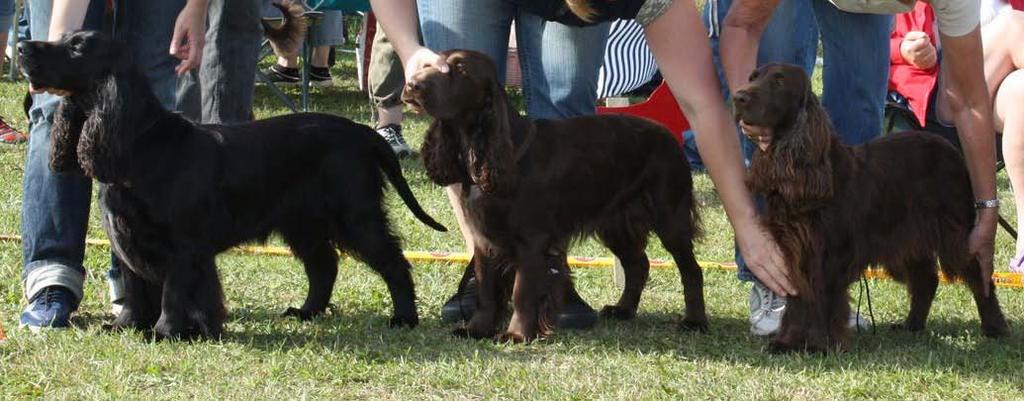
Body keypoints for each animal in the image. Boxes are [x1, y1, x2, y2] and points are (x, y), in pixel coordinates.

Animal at [403, 48, 708, 339]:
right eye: (429, 65)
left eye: (461, 70)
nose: (411, 85)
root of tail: (668, 135)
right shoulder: (484, 238)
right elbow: (486, 291)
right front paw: (477, 329)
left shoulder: (532, 240)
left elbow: (522, 291)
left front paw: (516, 334)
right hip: (616, 223)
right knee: (638, 264)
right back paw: (623, 309)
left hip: (670, 216)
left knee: (691, 269)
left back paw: (694, 321)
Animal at [737, 62, 1007, 351]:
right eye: (753, 77)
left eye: (778, 82)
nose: (738, 97)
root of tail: (953, 150)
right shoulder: (794, 252)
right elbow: (798, 301)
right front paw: (787, 342)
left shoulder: (828, 254)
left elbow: (821, 300)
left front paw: (819, 344)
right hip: (909, 238)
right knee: (927, 279)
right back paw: (912, 325)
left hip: (952, 232)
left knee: (979, 276)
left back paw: (994, 327)